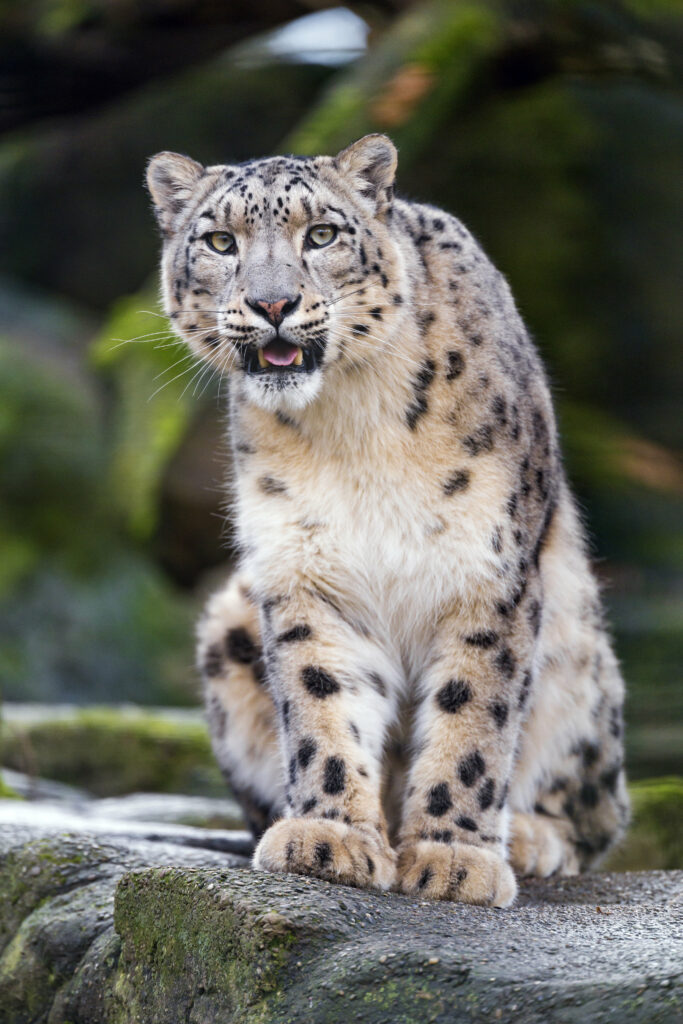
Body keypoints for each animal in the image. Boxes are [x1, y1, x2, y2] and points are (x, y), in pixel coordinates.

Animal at [146, 134, 629, 907]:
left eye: (321, 234)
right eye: (220, 241)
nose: (272, 302)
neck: (353, 424)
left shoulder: (485, 567)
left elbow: (473, 714)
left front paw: (452, 858)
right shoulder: (305, 568)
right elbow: (319, 699)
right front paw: (328, 837)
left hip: (580, 649)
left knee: (599, 808)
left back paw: (529, 838)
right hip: (228, 622)